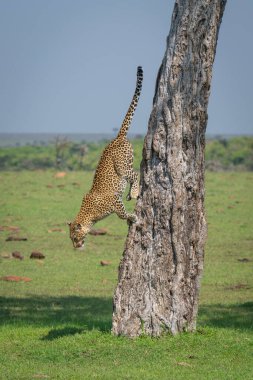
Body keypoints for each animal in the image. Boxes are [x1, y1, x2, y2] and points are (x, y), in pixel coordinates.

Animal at [68, 65, 143, 249]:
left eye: (75, 237)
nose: (76, 247)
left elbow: (122, 214)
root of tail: (117, 137)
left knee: (135, 174)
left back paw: (134, 193)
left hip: (122, 166)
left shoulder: (114, 201)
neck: (90, 216)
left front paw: (132, 217)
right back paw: (130, 193)